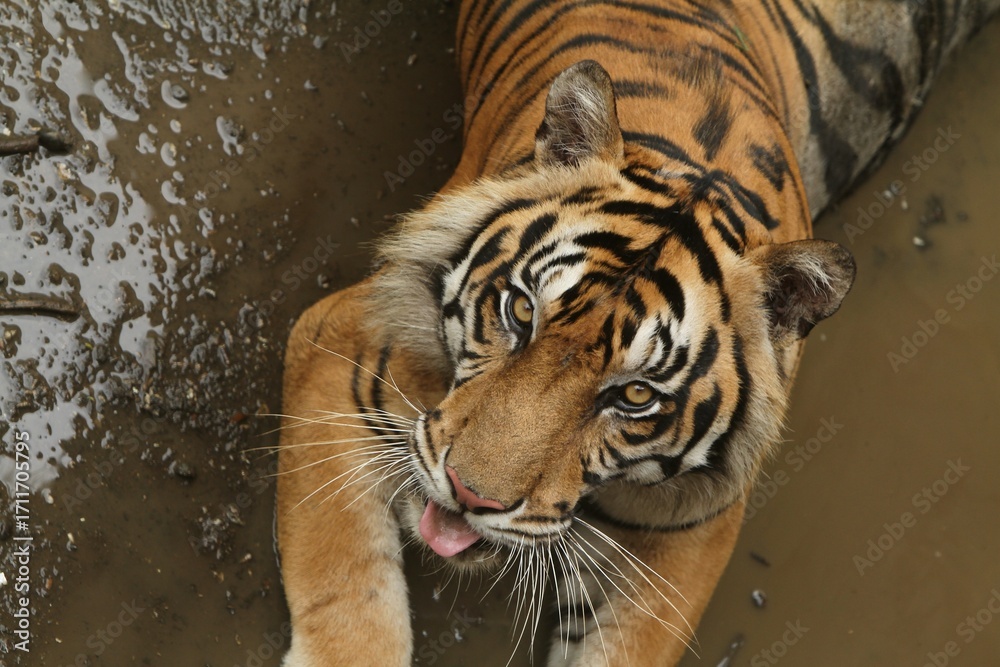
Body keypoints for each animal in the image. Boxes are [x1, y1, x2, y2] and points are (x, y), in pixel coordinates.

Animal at [276, 1, 1000, 665]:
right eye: (520, 313)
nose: (468, 493)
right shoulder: (339, 339)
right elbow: (348, 595)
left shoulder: (687, 532)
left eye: (634, 396)